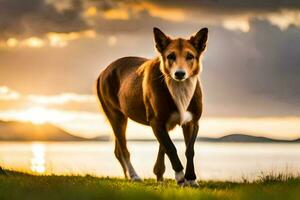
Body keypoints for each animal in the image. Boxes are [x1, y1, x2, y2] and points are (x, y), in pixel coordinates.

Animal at [96, 27, 209, 187]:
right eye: (170, 56)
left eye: (190, 56)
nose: (180, 73)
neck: (179, 88)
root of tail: (104, 71)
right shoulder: (156, 122)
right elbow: (171, 148)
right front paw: (181, 177)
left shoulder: (192, 122)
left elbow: (189, 150)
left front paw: (191, 179)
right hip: (116, 116)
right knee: (123, 150)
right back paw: (134, 176)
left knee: (119, 150)